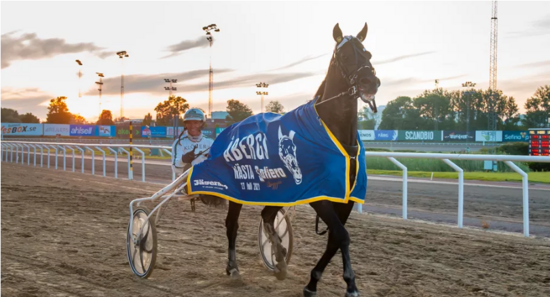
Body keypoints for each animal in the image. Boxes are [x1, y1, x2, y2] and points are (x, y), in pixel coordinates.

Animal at [223, 23, 380, 296]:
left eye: (368, 54)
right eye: (345, 56)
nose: (369, 81)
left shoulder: (346, 197)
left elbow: (335, 238)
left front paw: (315, 281)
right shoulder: (318, 194)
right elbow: (342, 235)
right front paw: (348, 283)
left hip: (278, 188)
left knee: (267, 216)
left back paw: (279, 258)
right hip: (239, 188)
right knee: (233, 224)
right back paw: (234, 268)